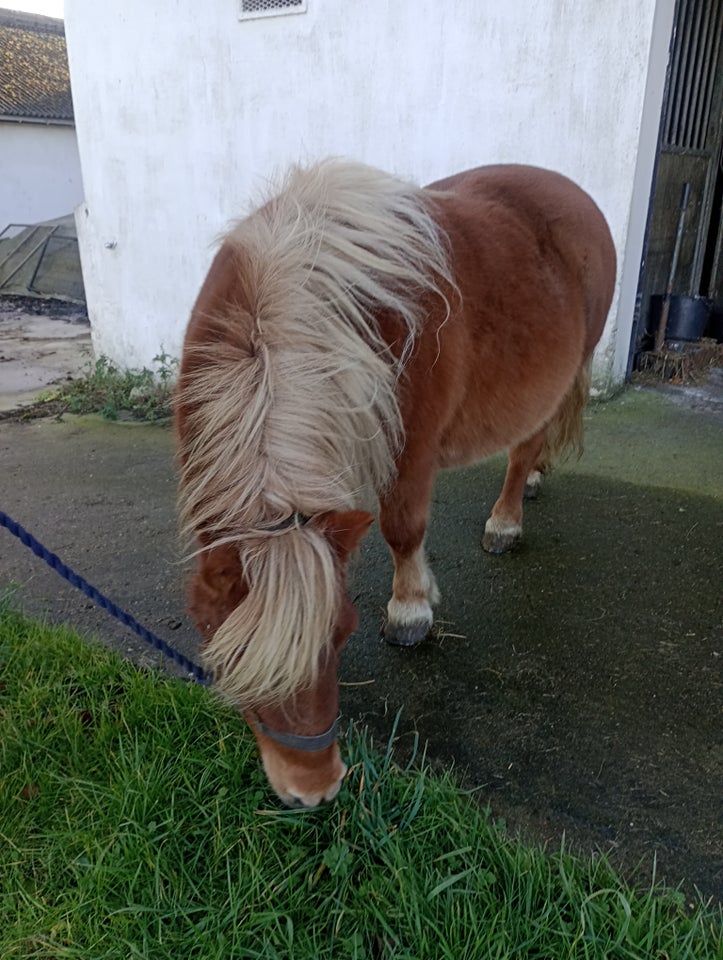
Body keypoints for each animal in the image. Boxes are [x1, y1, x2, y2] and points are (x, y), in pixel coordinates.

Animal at [175, 161, 616, 808]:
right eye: (227, 657)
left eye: (341, 640)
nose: (316, 792)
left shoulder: (411, 450)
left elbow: (403, 528)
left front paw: (410, 611)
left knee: (526, 443)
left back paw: (507, 517)